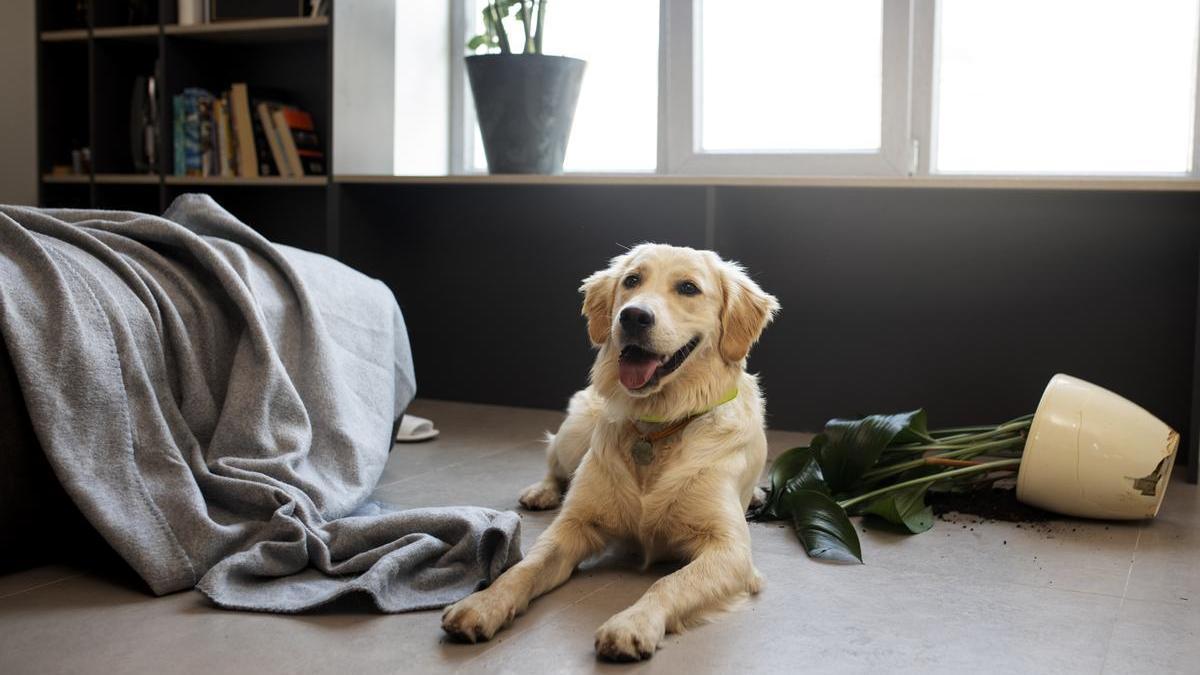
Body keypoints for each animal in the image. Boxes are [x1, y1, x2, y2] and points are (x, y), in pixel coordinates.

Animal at [441, 241, 777, 658]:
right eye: (632, 280)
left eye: (688, 288)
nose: (633, 316)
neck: (658, 426)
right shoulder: (574, 525)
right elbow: (525, 567)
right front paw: (483, 604)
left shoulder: (729, 550)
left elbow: (667, 583)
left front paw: (631, 624)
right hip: (574, 431)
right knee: (554, 463)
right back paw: (542, 491)